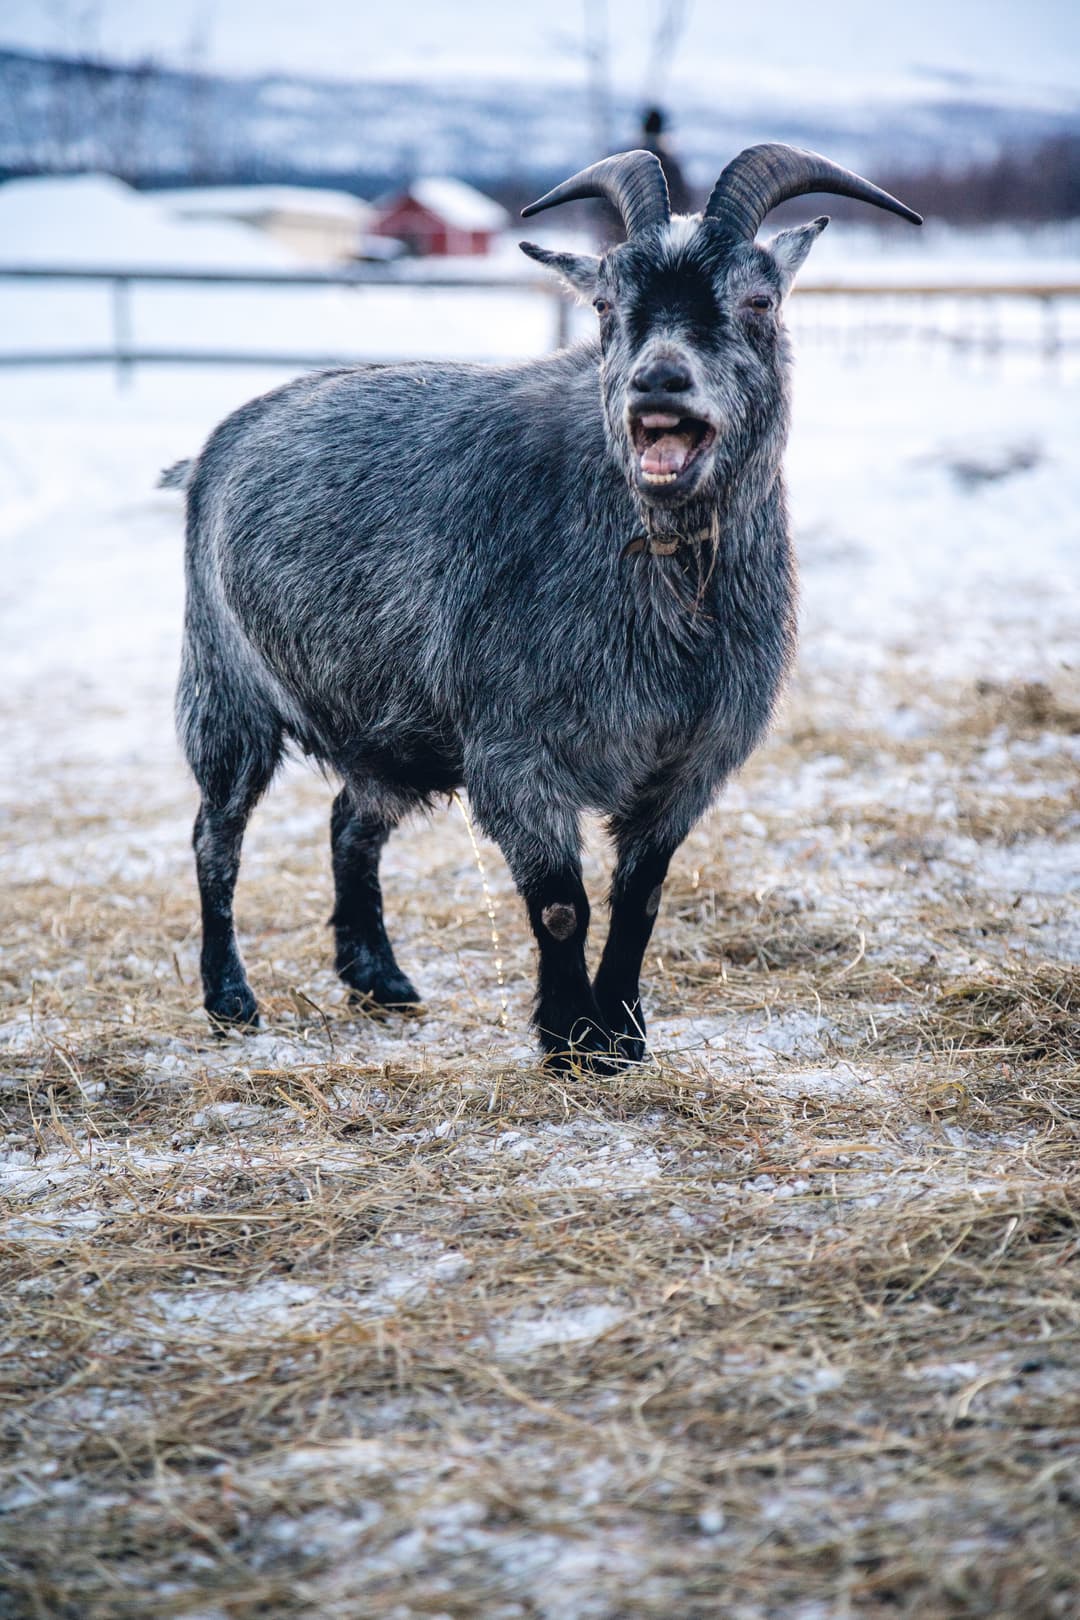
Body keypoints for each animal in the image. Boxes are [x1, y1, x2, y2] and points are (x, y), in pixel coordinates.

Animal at [173, 144, 920, 1068]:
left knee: (351, 821)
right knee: (216, 839)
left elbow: (640, 900)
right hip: (224, 692)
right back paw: (230, 999)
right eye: (605, 304)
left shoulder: (689, 762)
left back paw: (379, 978)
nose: (658, 382)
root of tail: (220, 442)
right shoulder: (516, 751)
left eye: (759, 300)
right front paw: (570, 1040)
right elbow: (563, 904)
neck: (668, 602)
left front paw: (624, 1035)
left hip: (384, 723)